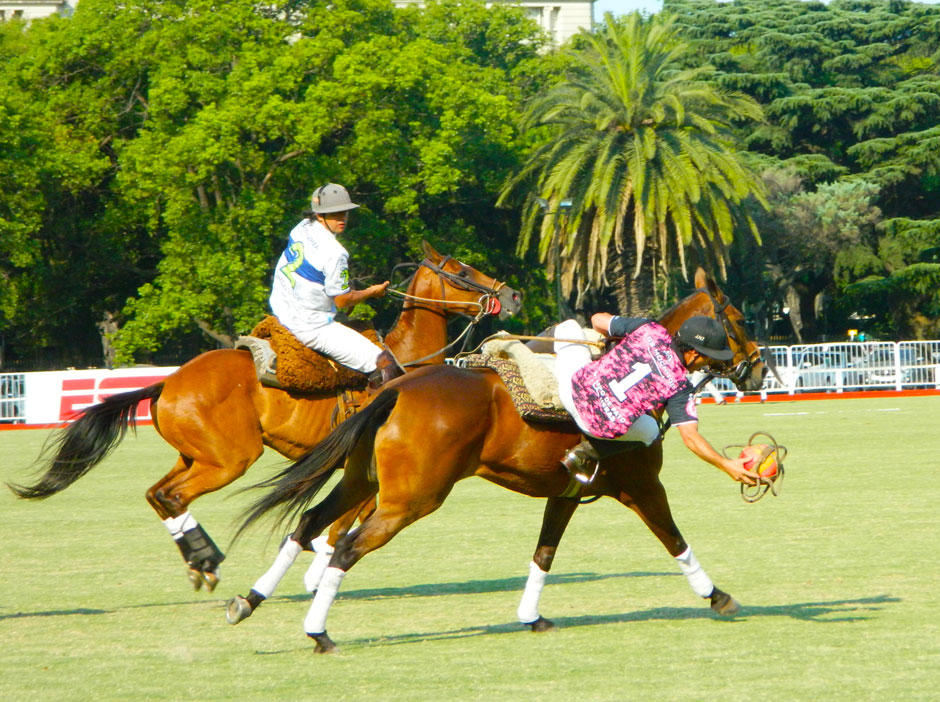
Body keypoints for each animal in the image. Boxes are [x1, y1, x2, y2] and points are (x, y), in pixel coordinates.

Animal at [7, 242, 520, 592]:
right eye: (462, 271)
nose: (512, 294)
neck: (408, 359)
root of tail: (167, 383)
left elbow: (345, 517)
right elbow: (346, 519)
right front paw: (317, 572)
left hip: (196, 453)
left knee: (157, 493)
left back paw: (199, 563)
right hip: (231, 457)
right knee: (173, 496)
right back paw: (208, 560)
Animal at [231, 270, 768, 656]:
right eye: (741, 320)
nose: (760, 370)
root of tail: (396, 390)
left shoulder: (566, 493)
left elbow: (544, 553)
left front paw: (532, 616)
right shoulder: (641, 485)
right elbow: (675, 539)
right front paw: (718, 595)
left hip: (363, 480)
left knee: (309, 523)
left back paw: (247, 601)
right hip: (412, 497)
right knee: (344, 547)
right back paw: (318, 633)